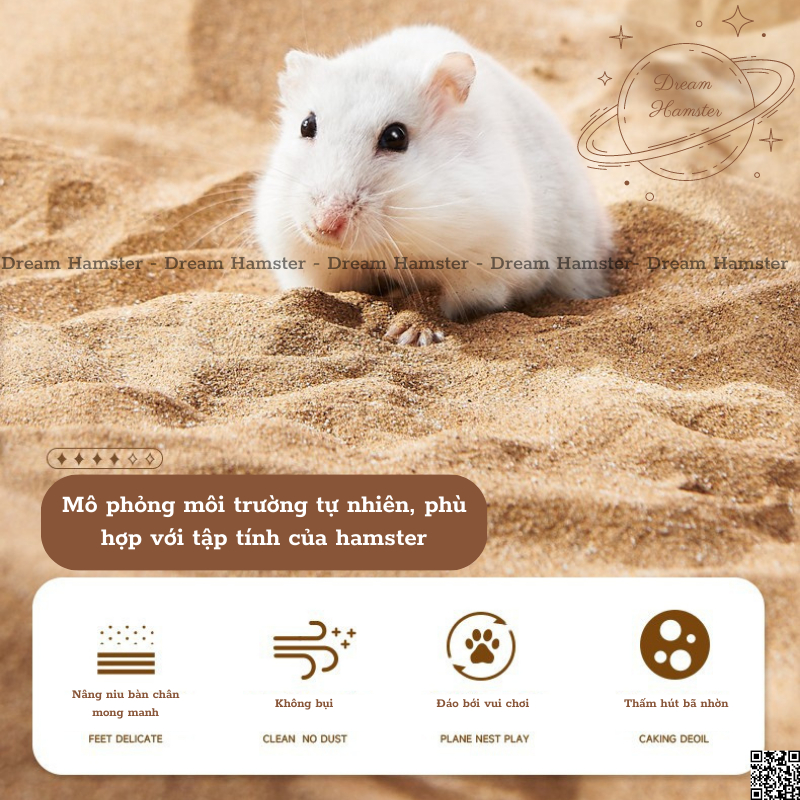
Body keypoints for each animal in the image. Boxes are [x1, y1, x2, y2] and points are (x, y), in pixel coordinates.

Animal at [255, 25, 612, 345]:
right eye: (306, 125)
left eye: (395, 136)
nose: (325, 227)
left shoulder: (483, 269)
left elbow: (437, 299)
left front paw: (410, 332)